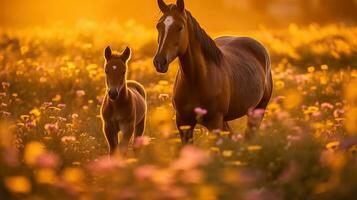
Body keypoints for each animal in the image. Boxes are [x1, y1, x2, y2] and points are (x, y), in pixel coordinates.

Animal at [152, 0, 272, 144]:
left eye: (180, 27)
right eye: (159, 26)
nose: (159, 62)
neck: (196, 80)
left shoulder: (215, 122)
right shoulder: (183, 123)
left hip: (257, 110)